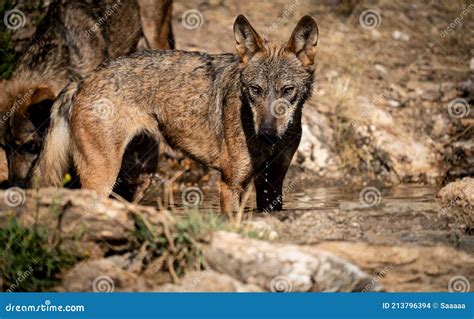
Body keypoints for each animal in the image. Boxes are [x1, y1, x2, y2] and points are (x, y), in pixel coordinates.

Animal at [32, 15, 318, 215]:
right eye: (255, 90)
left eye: (287, 90)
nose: (268, 133)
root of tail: (81, 81)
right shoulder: (230, 185)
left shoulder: (272, 186)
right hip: (102, 179)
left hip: (139, 177)